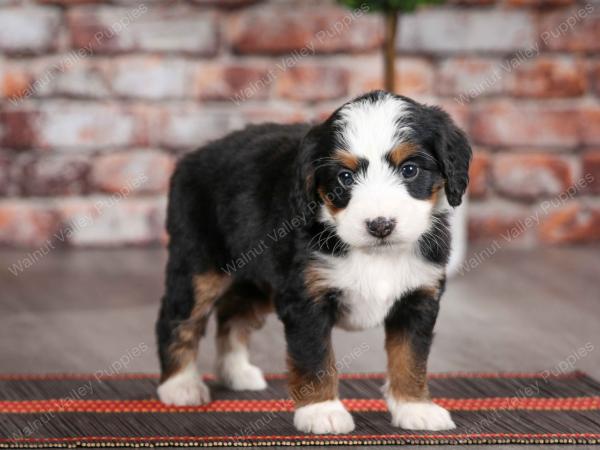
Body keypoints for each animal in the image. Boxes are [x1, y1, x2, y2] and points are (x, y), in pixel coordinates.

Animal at [156, 90, 474, 432]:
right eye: (345, 177)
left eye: (410, 170)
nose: (380, 225)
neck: (375, 253)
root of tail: (192, 157)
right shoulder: (306, 297)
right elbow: (315, 357)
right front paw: (322, 411)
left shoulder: (418, 296)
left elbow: (410, 357)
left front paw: (415, 407)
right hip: (198, 266)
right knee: (177, 320)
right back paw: (180, 385)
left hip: (257, 278)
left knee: (233, 315)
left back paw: (236, 371)